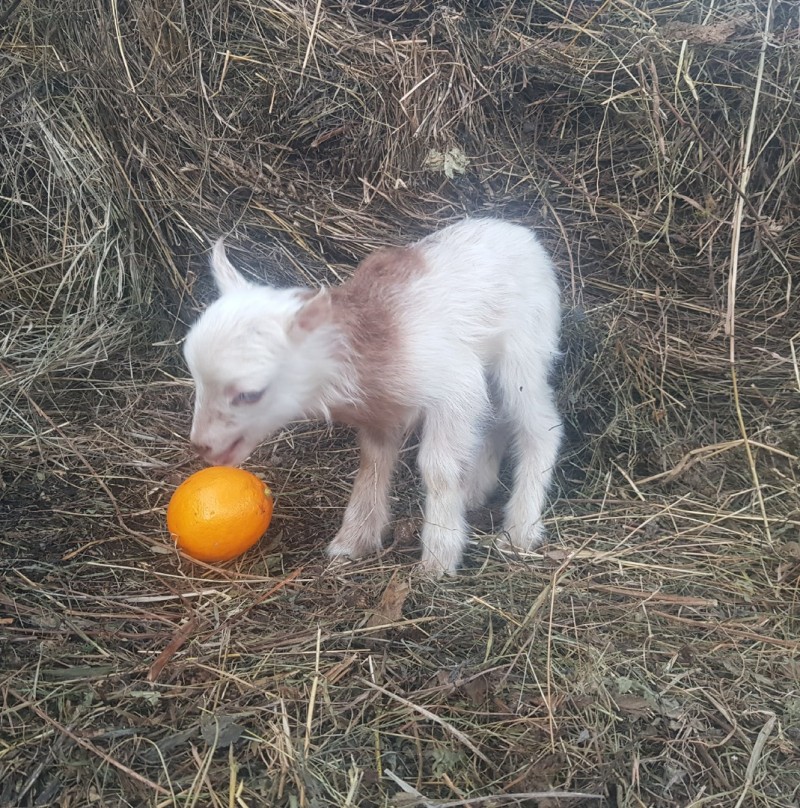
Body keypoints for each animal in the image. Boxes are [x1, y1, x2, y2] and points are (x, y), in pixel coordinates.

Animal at [186, 218, 564, 576]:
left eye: (250, 394)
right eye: (195, 376)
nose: (202, 446)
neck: (380, 342)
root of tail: (519, 232)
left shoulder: (456, 385)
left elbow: (438, 468)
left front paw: (439, 558)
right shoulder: (379, 412)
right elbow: (373, 464)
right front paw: (353, 541)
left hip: (525, 350)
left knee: (541, 426)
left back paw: (520, 531)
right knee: (496, 419)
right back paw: (475, 491)